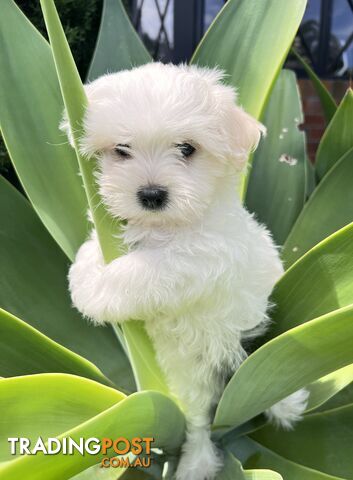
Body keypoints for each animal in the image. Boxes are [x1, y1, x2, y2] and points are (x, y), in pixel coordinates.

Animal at [63, 63, 308, 480]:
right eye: (122, 150)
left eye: (187, 149)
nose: (151, 194)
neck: (166, 227)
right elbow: (98, 244)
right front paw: (84, 270)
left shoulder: (204, 257)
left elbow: (146, 269)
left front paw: (95, 291)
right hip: (187, 377)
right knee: (196, 418)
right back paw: (196, 461)